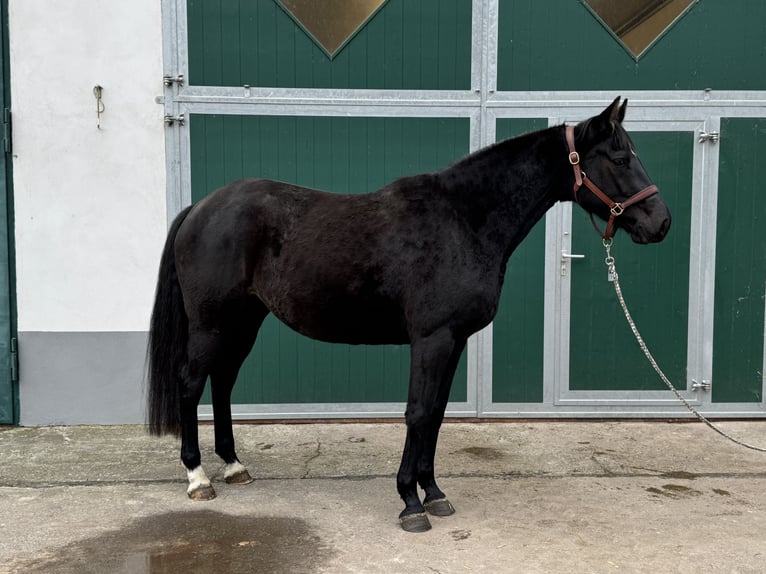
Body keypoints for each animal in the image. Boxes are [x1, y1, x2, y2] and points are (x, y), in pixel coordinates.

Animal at [147, 97, 671, 533]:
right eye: (620, 159)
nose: (661, 223)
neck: (463, 221)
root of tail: (201, 208)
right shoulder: (431, 339)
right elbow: (417, 413)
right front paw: (410, 503)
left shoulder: (454, 340)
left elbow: (435, 415)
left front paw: (434, 492)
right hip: (212, 324)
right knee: (191, 381)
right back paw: (197, 476)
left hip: (243, 322)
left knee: (223, 382)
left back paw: (234, 466)